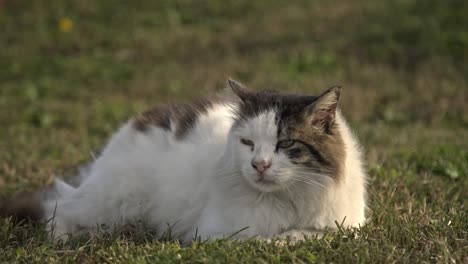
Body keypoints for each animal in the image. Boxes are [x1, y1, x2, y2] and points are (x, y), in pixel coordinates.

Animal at [0, 79, 366, 244]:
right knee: (56, 207)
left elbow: (309, 233)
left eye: (286, 143)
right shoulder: (216, 233)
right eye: (248, 143)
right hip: (110, 203)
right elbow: (274, 237)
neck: (289, 199)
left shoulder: (348, 225)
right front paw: (278, 239)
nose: (259, 165)